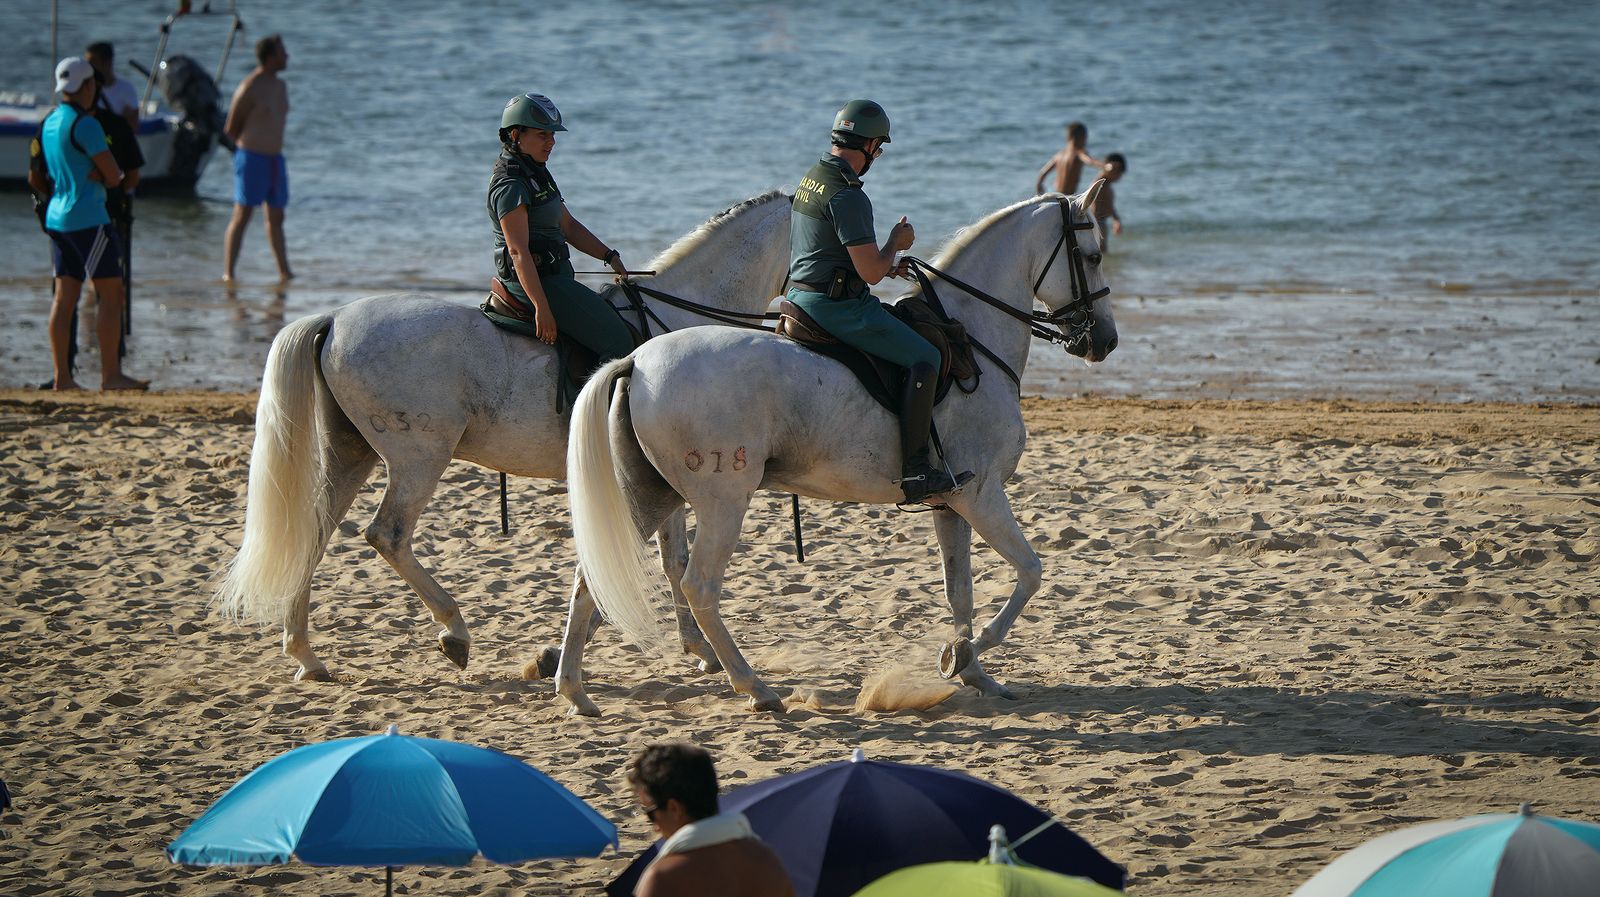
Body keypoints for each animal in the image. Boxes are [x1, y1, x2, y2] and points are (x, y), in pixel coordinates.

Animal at [214, 190, 794, 681]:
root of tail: (333, 318)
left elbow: (672, 560)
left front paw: (693, 649)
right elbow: (666, 561)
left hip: (352, 453)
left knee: (314, 531)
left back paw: (306, 655)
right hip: (419, 457)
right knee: (388, 535)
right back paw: (453, 631)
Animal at [554, 184, 1115, 715]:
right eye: (1092, 256)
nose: (1104, 342)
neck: (971, 340)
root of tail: (636, 362)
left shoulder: (951, 504)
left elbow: (960, 591)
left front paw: (969, 667)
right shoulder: (981, 496)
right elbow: (1030, 573)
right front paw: (971, 653)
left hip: (650, 496)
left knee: (591, 579)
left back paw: (574, 690)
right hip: (722, 501)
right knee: (700, 588)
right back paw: (755, 687)